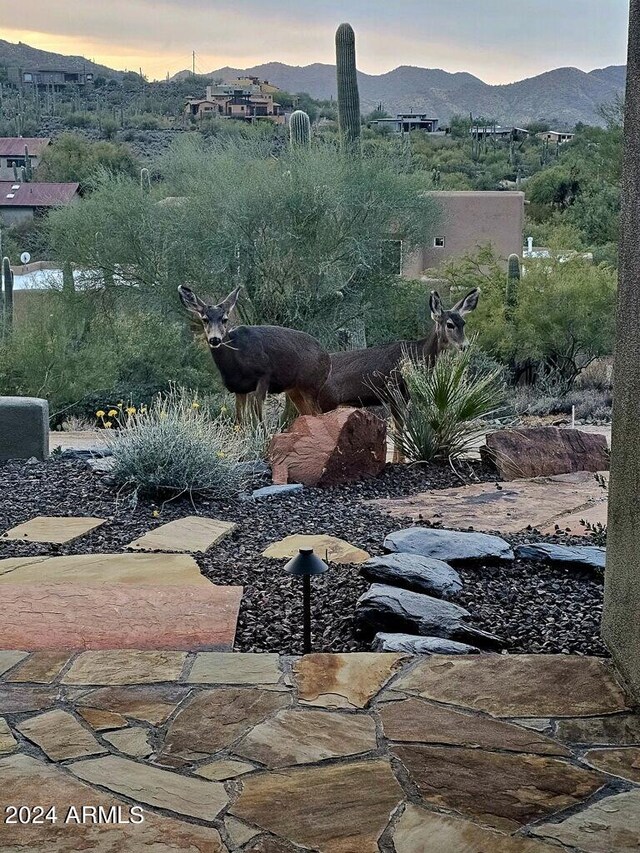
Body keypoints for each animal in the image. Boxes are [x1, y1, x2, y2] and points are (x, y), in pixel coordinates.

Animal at [179, 284, 332, 422]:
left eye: (225, 319)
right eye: (205, 319)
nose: (215, 339)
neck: (235, 362)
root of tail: (327, 358)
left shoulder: (264, 375)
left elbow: (259, 418)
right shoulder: (239, 389)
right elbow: (240, 420)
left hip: (311, 385)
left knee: (318, 412)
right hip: (295, 390)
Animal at [320, 286, 480, 456]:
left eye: (463, 323)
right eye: (449, 324)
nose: (465, 346)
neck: (417, 353)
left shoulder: (403, 396)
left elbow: (399, 427)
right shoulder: (395, 391)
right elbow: (399, 428)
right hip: (325, 402)